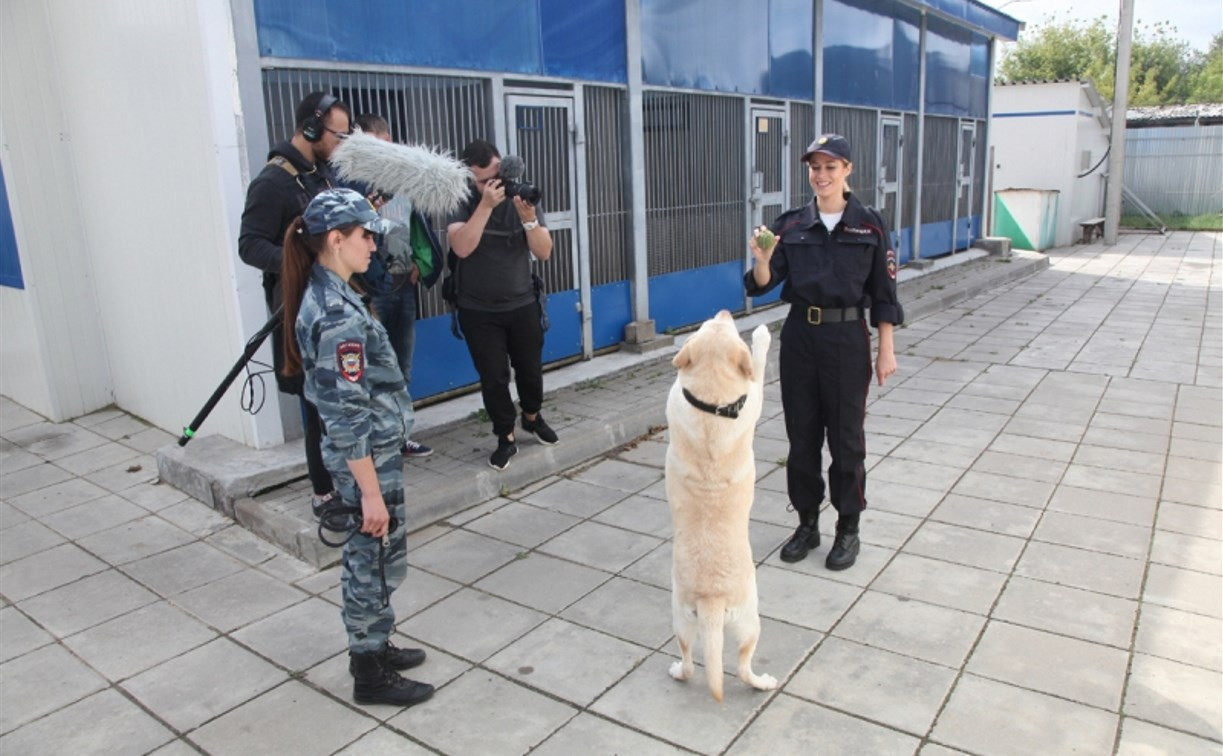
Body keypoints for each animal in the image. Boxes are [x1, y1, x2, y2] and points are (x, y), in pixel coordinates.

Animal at [665, 309, 777, 699]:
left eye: (702, 327)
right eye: (727, 328)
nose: (726, 312)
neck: (711, 403)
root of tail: (710, 600)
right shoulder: (753, 394)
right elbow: (756, 365)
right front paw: (761, 335)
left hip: (681, 620)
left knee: (688, 661)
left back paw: (677, 671)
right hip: (751, 621)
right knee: (742, 667)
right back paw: (764, 682)